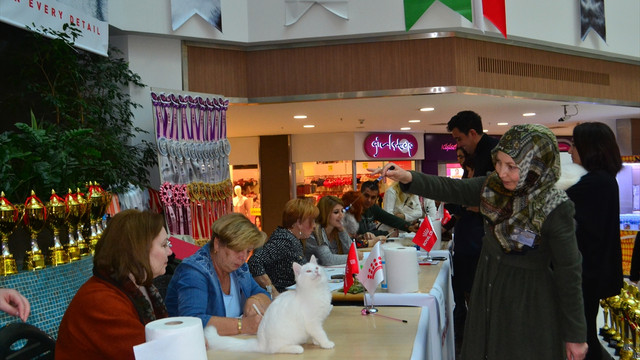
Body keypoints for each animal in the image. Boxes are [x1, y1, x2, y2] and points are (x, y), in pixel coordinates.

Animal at [204, 255, 336, 352]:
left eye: (317, 268)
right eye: (308, 271)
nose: (316, 271)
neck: (317, 291)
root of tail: (261, 343)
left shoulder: (318, 321)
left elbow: (316, 335)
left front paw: (316, 342)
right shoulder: (312, 322)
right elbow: (321, 334)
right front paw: (326, 343)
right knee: (277, 349)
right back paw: (297, 348)